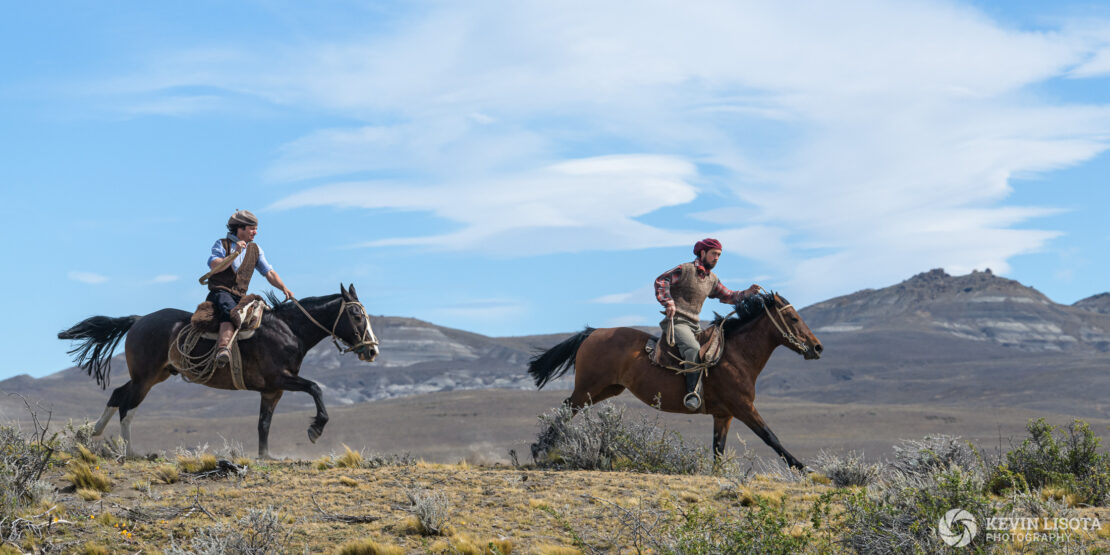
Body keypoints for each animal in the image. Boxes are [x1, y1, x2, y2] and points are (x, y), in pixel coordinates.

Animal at [58, 284, 379, 457]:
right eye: (355, 314)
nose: (373, 350)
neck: (289, 330)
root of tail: (138, 320)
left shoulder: (272, 390)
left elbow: (263, 424)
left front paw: (265, 456)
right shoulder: (281, 379)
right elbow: (315, 387)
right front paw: (315, 429)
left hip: (154, 375)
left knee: (118, 394)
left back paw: (93, 433)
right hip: (145, 378)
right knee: (127, 405)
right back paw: (129, 451)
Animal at [528, 290, 825, 468]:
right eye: (793, 318)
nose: (818, 347)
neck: (735, 356)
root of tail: (593, 333)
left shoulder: (724, 415)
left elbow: (718, 449)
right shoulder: (743, 408)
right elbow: (770, 436)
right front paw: (802, 468)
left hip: (606, 390)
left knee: (568, 409)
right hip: (588, 388)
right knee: (566, 409)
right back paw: (539, 449)